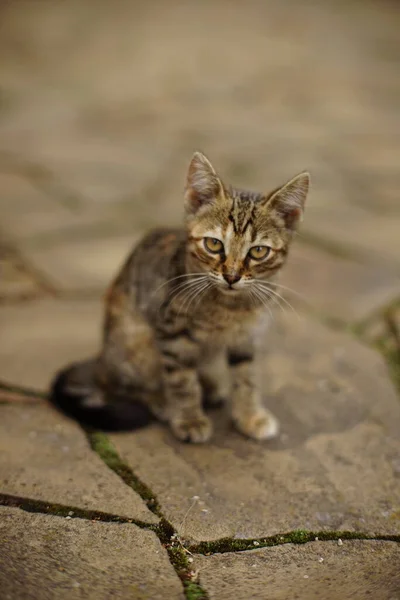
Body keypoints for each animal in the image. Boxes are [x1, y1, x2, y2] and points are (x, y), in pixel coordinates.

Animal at [50, 152, 310, 442]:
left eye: (258, 251)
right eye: (214, 244)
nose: (231, 276)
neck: (229, 307)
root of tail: (101, 359)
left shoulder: (248, 337)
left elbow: (247, 378)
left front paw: (250, 415)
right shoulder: (172, 334)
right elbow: (183, 381)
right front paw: (189, 418)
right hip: (135, 341)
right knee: (125, 385)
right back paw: (161, 400)